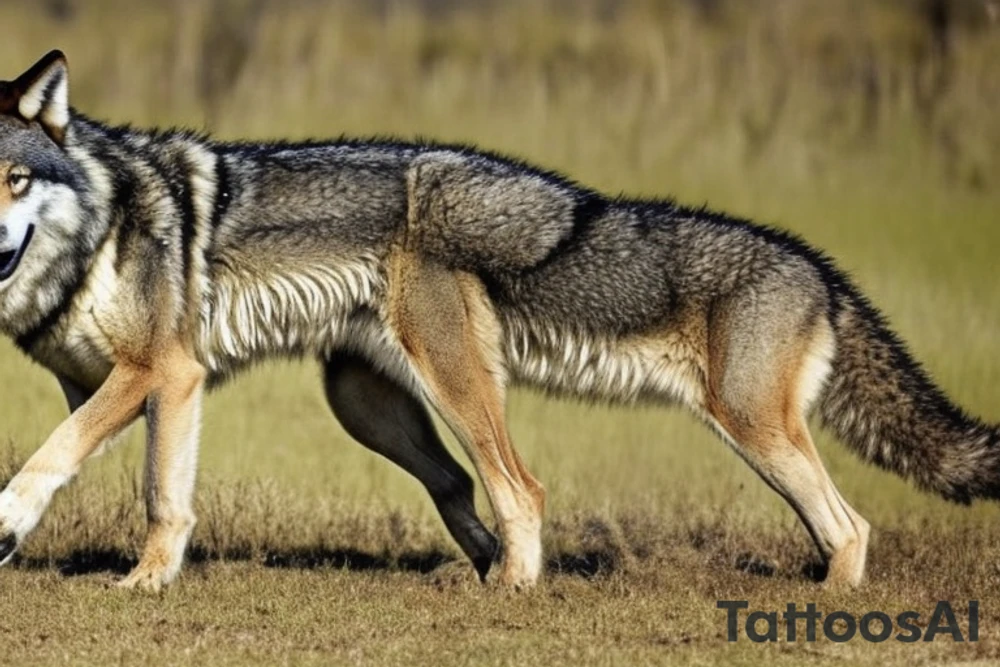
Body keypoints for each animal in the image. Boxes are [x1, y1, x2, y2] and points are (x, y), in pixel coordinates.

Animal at [0, 50, 996, 592]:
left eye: (14, 179)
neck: (95, 228)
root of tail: (822, 268)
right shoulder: (123, 386)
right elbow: (112, 471)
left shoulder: (162, 372)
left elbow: (91, 474)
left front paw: (122, 573)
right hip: (370, 404)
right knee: (463, 486)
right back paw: (482, 571)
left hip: (706, 420)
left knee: (533, 489)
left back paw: (517, 587)